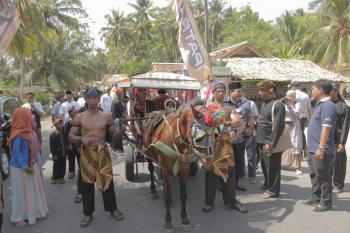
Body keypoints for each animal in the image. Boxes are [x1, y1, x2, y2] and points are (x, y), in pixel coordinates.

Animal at [142, 101, 216, 232]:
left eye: (214, 135)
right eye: (200, 137)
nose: (209, 163)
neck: (177, 140)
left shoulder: (184, 171)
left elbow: (184, 196)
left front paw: (185, 219)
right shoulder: (166, 170)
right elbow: (168, 197)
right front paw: (168, 222)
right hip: (148, 153)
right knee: (151, 169)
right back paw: (153, 190)